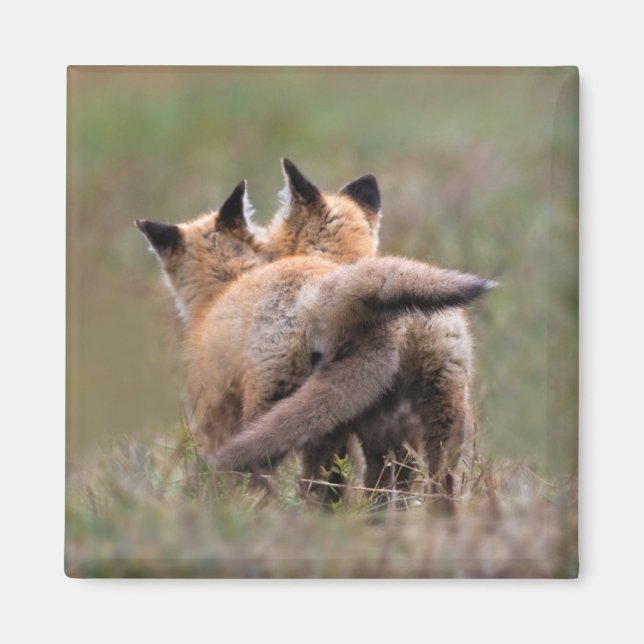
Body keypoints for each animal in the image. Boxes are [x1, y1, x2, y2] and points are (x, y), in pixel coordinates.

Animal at [136, 170, 492, 497]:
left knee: (275, 480)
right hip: (425, 416)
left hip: (281, 409)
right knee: (418, 483)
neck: (223, 288)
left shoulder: (214, 406)